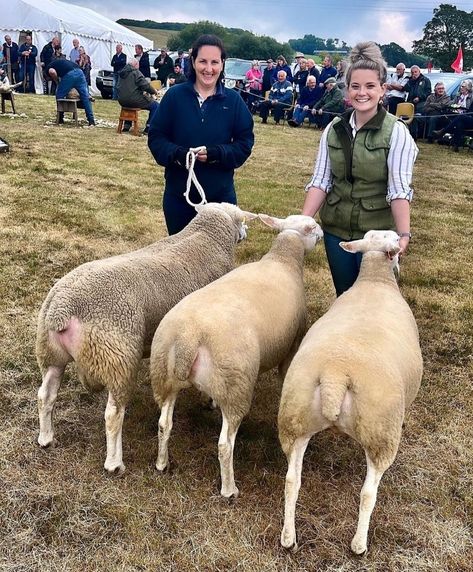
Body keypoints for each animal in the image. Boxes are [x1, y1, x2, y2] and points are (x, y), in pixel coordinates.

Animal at [35, 201, 256, 474]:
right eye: (243, 221)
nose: (246, 233)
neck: (206, 237)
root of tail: (62, 309)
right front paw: (210, 401)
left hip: (50, 353)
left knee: (45, 395)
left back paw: (46, 438)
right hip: (117, 357)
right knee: (113, 414)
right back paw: (114, 463)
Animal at [149, 212, 322, 498]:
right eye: (313, 227)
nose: (322, 236)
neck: (283, 259)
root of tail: (189, 337)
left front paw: (208, 399)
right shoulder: (294, 342)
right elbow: (285, 373)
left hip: (164, 375)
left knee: (164, 424)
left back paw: (162, 463)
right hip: (236, 387)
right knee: (224, 444)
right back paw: (229, 489)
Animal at [278, 229, 422, 556]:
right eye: (393, 242)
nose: (400, 255)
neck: (375, 280)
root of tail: (335, 374)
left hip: (294, 420)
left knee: (292, 481)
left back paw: (288, 538)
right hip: (380, 433)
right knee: (368, 493)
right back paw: (359, 544)